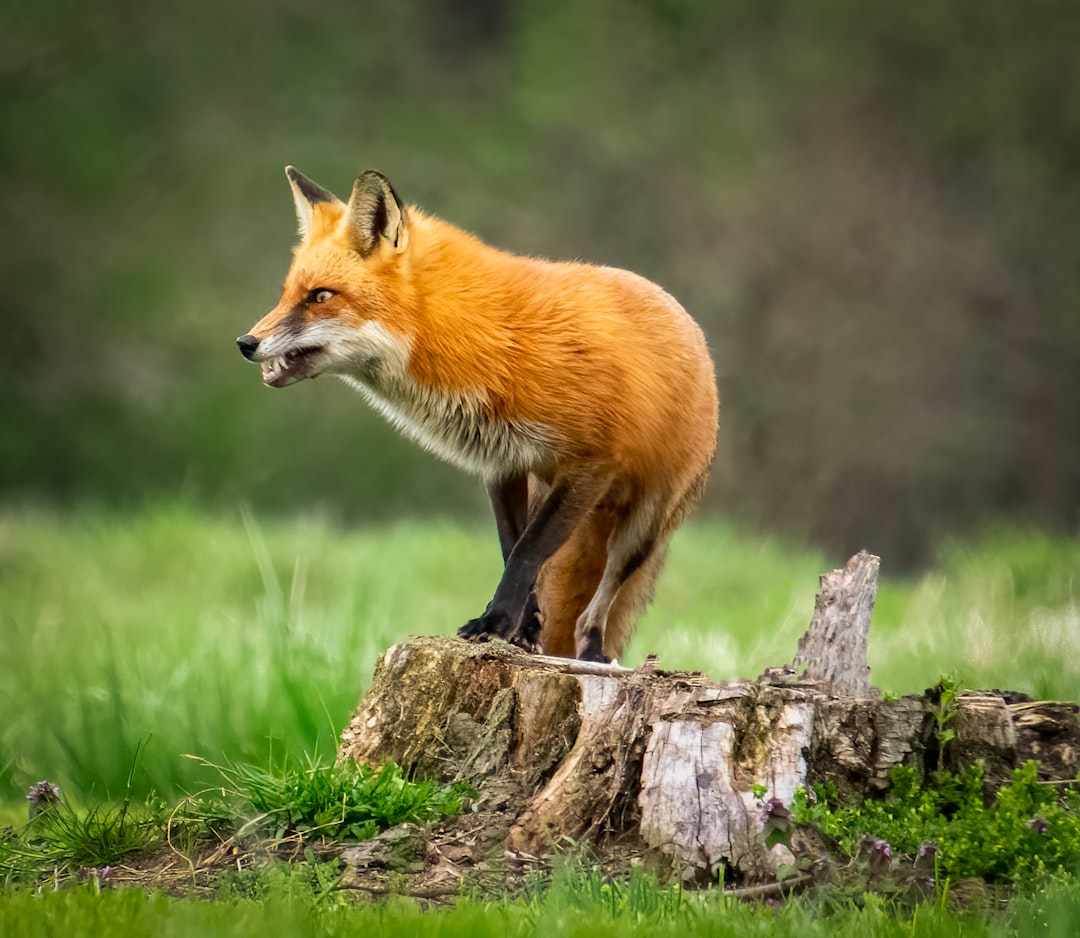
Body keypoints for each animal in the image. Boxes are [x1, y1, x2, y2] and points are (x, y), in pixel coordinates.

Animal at [237, 167, 718, 663]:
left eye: (320, 296)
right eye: (287, 295)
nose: (246, 343)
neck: (486, 342)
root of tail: (691, 329)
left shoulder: (591, 463)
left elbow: (527, 552)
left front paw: (494, 623)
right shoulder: (503, 464)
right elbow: (514, 551)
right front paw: (521, 629)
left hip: (643, 525)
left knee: (599, 600)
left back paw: (592, 653)